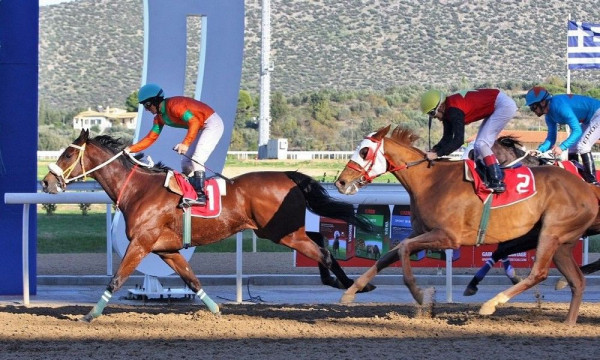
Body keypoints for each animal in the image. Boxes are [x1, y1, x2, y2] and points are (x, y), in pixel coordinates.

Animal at [41, 131, 376, 322]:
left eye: (68, 153)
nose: (46, 182)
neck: (139, 189)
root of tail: (287, 175)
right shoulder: (166, 250)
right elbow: (192, 280)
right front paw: (216, 311)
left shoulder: (141, 244)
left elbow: (116, 279)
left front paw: (90, 315)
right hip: (282, 230)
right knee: (320, 240)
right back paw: (349, 282)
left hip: (281, 232)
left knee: (324, 252)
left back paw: (351, 284)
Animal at [332, 125, 600, 324]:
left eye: (364, 151)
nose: (341, 183)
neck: (430, 181)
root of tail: (588, 190)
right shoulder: (422, 231)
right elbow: (389, 255)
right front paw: (351, 291)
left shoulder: (448, 237)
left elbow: (404, 249)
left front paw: (421, 296)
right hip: (562, 243)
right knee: (577, 280)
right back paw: (568, 323)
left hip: (551, 233)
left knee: (540, 272)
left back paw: (491, 304)